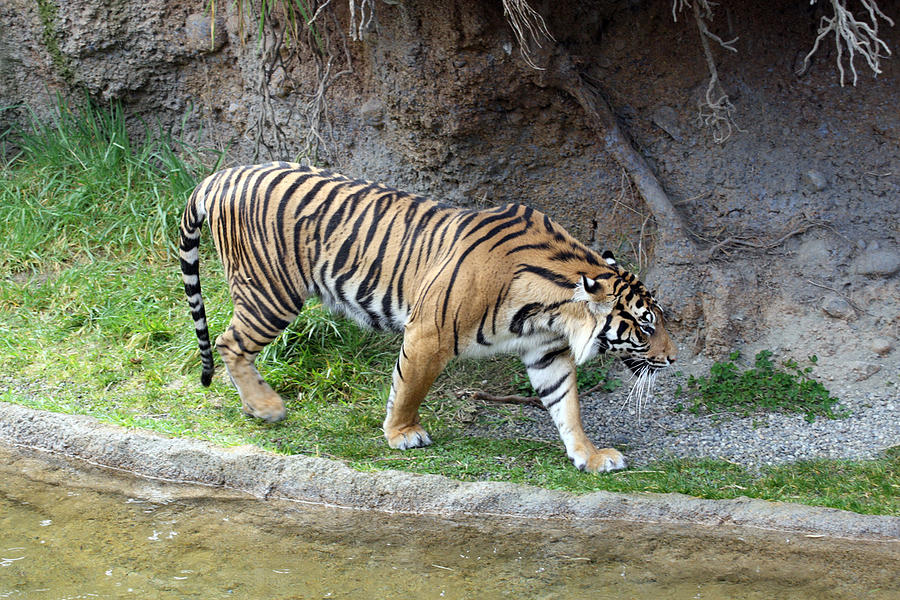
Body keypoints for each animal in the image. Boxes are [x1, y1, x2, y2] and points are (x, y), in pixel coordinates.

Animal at [179, 162, 676, 472]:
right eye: (646, 326)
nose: (672, 359)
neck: (550, 312)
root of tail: (222, 174)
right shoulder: (429, 332)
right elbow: (408, 388)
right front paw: (401, 434)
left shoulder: (547, 353)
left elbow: (566, 407)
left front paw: (590, 456)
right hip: (271, 293)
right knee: (228, 343)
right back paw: (267, 407)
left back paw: (256, 404)